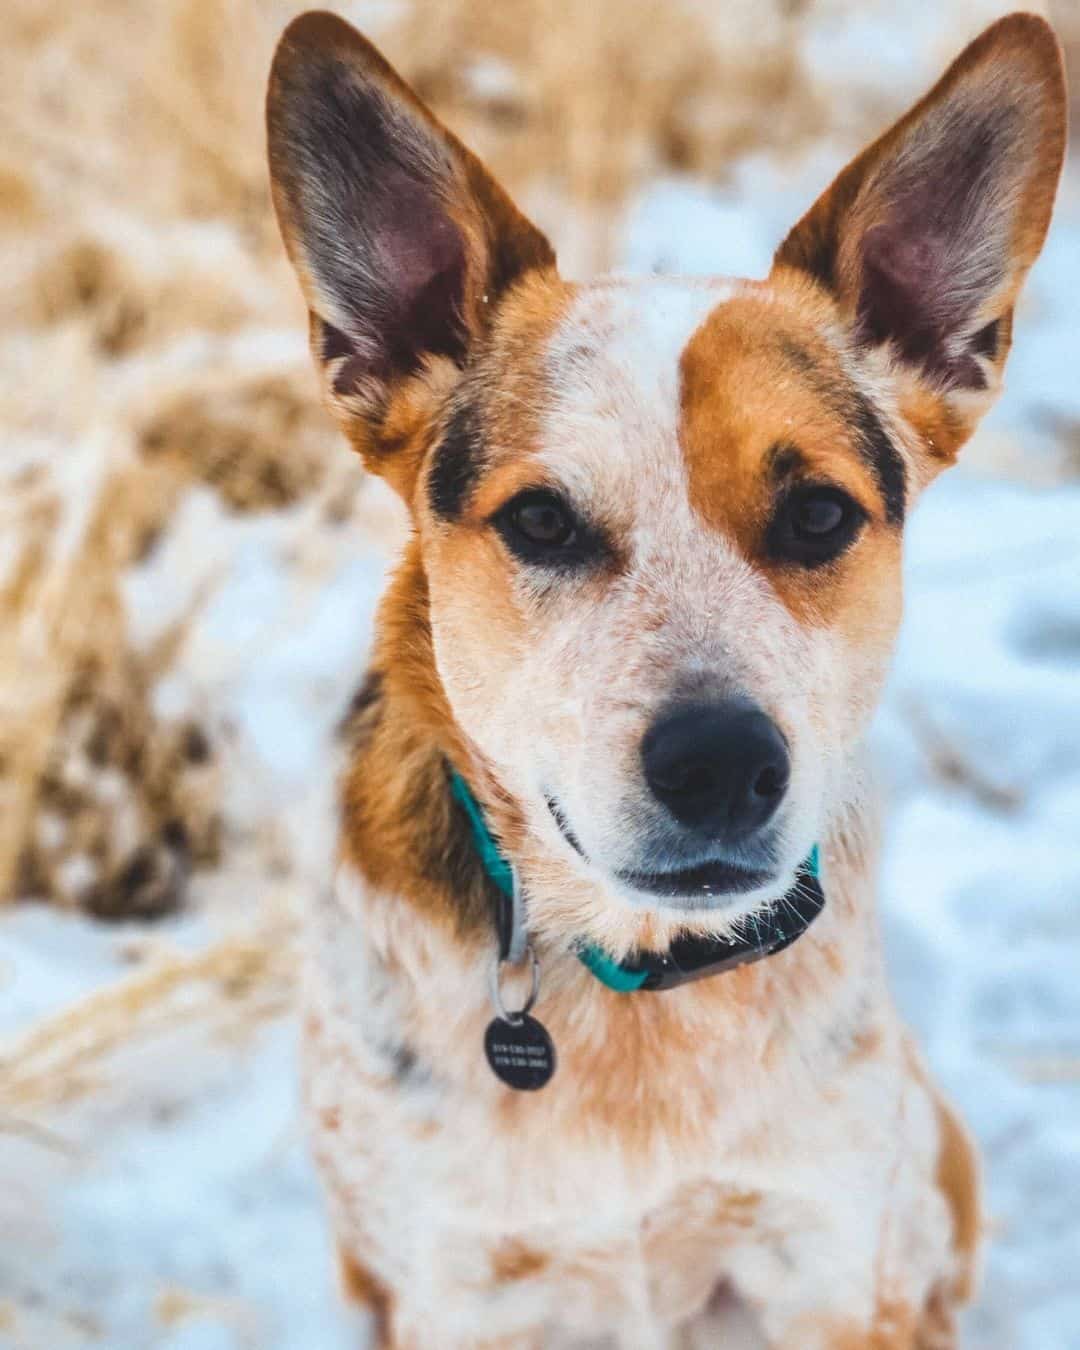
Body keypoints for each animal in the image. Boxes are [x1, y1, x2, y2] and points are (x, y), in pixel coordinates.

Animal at [267, 13, 1063, 1350]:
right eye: (539, 520)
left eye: (817, 515)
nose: (723, 766)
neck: (640, 981)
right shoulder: (454, 1285)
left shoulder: (823, 1262)